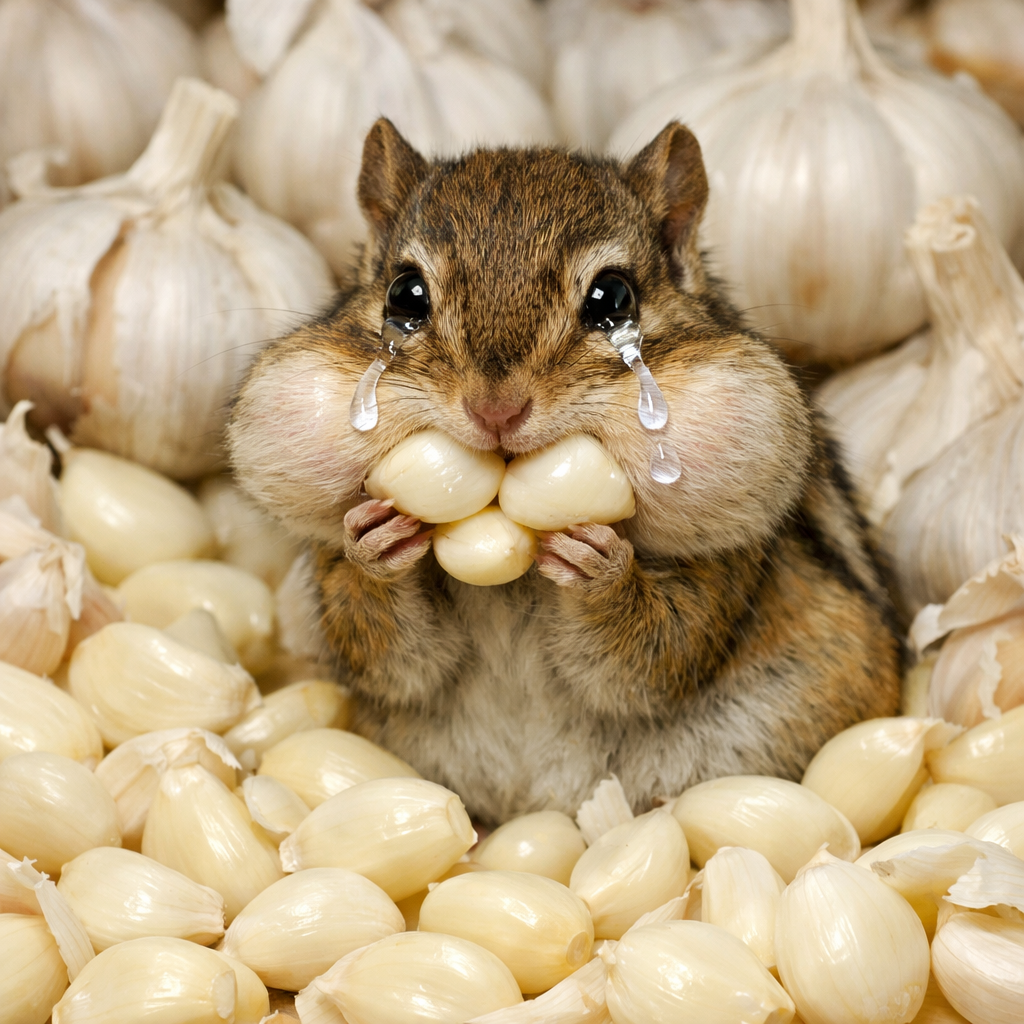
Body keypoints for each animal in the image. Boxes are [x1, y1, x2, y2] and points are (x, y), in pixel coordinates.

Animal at [229, 117, 902, 824]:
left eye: (614, 298)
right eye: (404, 294)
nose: (496, 410)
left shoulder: (723, 571)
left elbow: (657, 652)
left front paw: (600, 567)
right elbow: (388, 651)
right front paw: (374, 546)